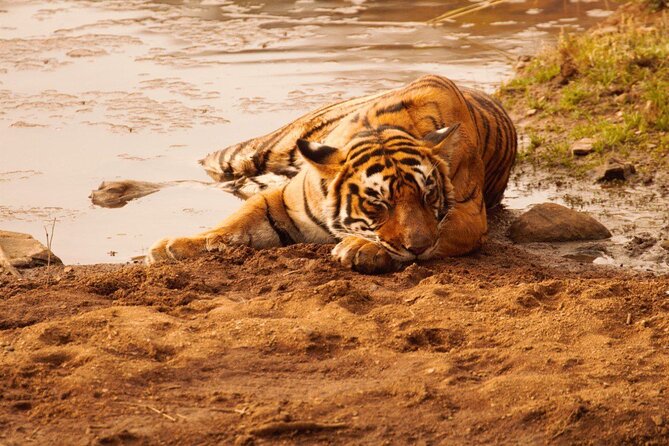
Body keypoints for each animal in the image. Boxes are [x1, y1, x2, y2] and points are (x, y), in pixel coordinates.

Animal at [147, 75, 517, 274]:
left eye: (429, 197)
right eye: (378, 204)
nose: (418, 248)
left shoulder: (470, 216)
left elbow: (438, 230)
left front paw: (360, 248)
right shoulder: (285, 201)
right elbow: (236, 222)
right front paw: (176, 245)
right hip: (258, 151)